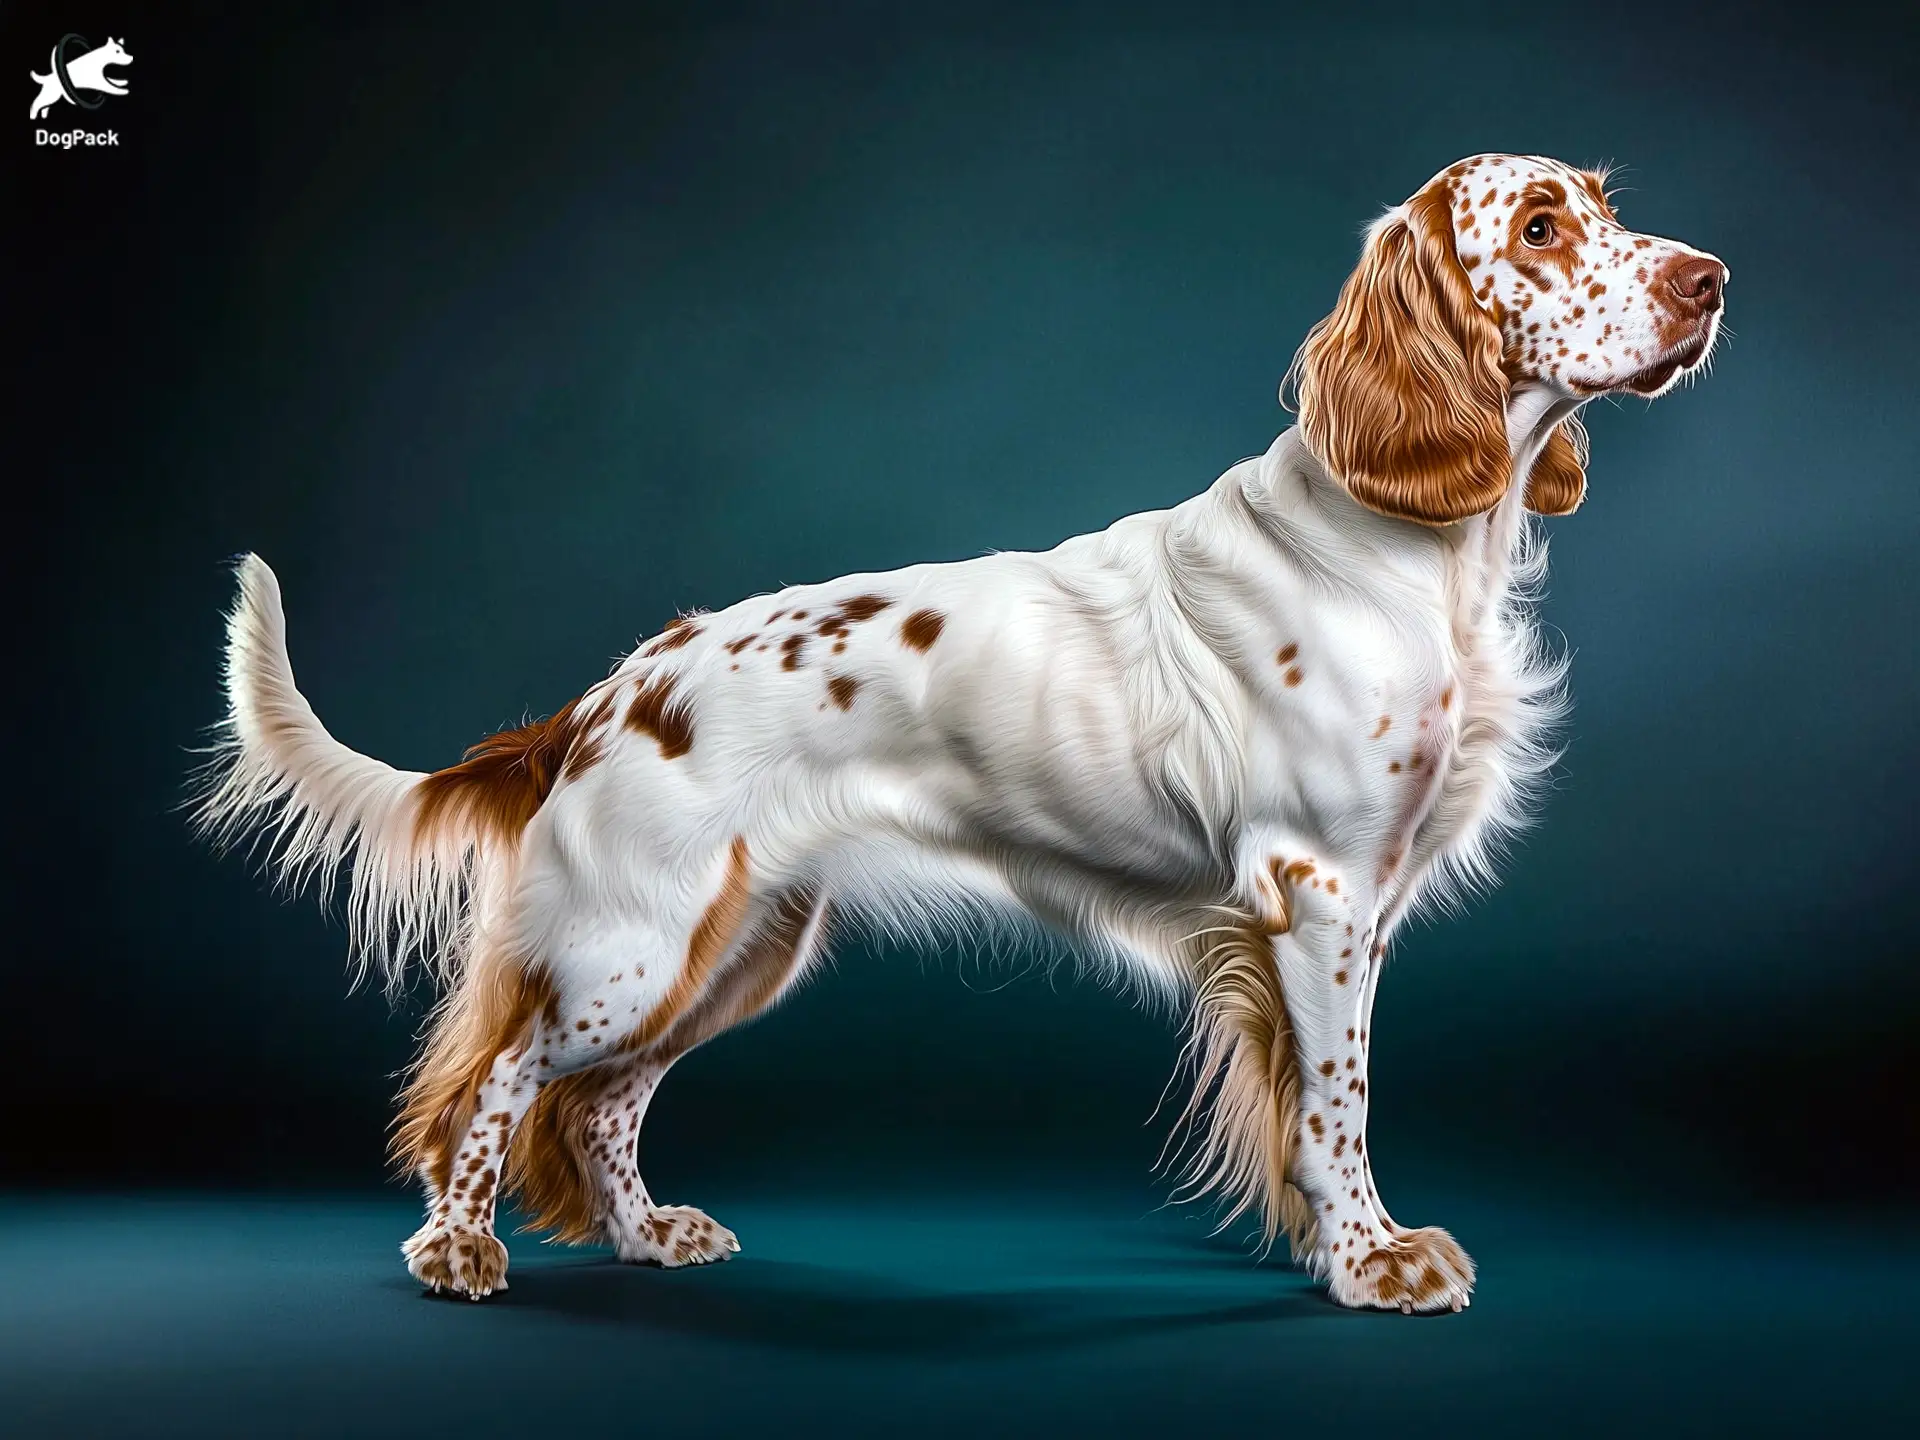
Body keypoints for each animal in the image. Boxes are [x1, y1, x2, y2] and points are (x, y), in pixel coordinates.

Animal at [194, 152, 1728, 1313]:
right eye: (1539, 227)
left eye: (1605, 201)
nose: (1711, 279)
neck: (1410, 542)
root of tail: (613, 689)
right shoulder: (1320, 891)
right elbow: (1338, 1107)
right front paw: (1375, 1263)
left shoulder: (1343, 912)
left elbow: (1309, 1106)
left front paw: (1335, 1254)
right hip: (628, 948)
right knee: (496, 1083)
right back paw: (455, 1247)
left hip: (734, 948)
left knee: (601, 1107)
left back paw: (647, 1235)